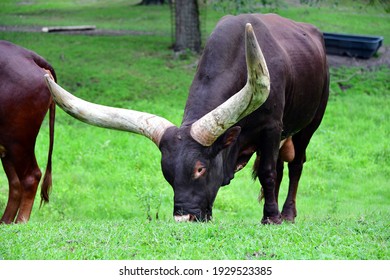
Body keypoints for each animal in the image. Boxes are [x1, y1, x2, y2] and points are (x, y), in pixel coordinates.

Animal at [0, 40, 56, 223]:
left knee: (31, 177)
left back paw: (21, 222)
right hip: (8, 145)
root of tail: (28, 55)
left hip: (18, 140)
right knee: (16, 184)